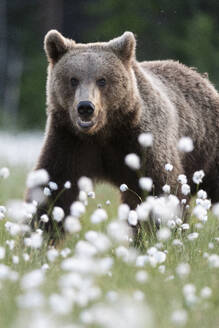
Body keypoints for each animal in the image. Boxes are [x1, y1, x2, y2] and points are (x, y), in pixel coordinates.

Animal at [26, 30, 219, 231]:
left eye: (102, 80)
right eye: (73, 79)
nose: (85, 107)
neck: (103, 132)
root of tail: (199, 76)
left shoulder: (140, 141)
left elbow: (162, 186)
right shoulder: (69, 141)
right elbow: (54, 188)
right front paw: (39, 229)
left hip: (207, 145)